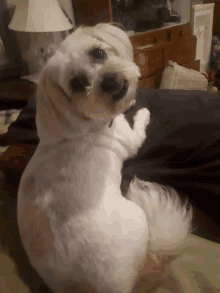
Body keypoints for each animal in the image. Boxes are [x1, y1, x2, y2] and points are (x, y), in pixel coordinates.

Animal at [17, 23, 192, 292]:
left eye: (98, 52)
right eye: (77, 84)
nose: (108, 80)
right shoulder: (129, 139)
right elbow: (138, 126)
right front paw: (142, 112)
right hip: (137, 217)